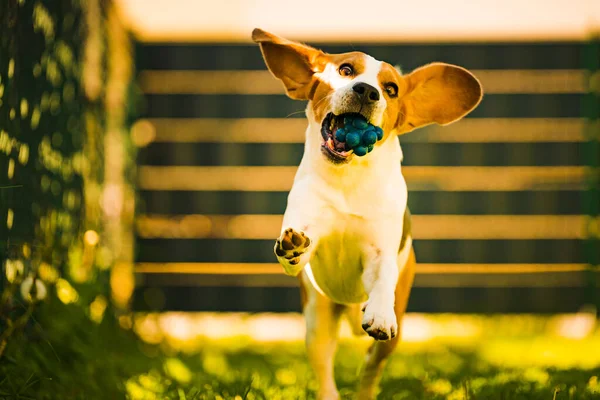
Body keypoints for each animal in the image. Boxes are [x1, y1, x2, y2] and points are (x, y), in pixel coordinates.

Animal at [251, 28, 480, 400]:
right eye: (345, 69)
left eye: (391, 89)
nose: (367, 91)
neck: (349, 179)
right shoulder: (308, 225)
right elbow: (300, 248)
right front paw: (293, 248)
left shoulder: (380, 253)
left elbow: (383, 276)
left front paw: (379, 313)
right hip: (316, 321)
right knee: (324, 365)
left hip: (392, 335)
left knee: (371, 368)